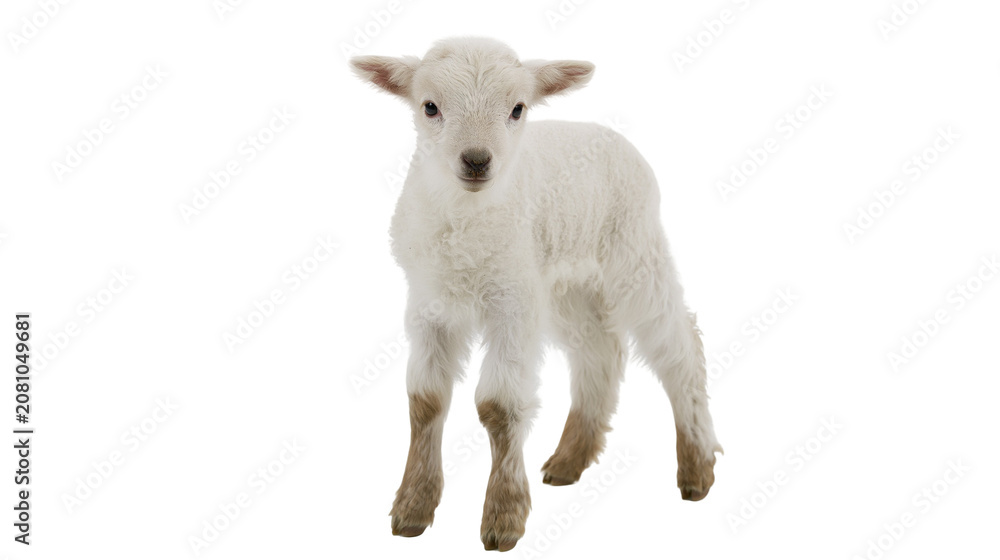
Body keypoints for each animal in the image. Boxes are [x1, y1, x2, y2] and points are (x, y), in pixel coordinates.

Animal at [350, 37, 723, 552]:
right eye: (429, 107)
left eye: (517, 109)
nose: (476, 160)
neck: (466, 223)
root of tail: (604, 132)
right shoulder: (429, 302)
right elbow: (424, 401)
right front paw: (412, 508)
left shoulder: (512, 299)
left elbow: (498, 406)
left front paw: (504, 517)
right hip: (567, 284)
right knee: (599, 352)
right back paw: (569, 460)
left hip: (634, 253)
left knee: (679, 348)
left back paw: (697, 469)